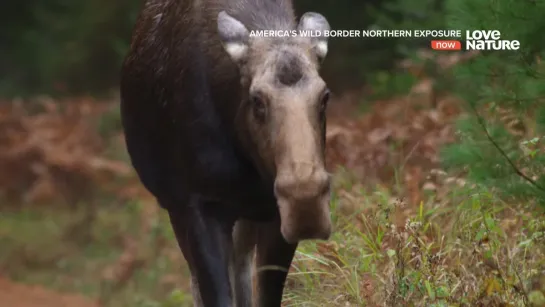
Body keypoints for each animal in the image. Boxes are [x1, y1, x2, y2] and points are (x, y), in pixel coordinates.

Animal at [119, 0, 332, 306]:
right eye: (256, 100)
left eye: (325, 95)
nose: (305, 199)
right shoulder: (199, 203)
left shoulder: (272, 212)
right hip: (175, 206)